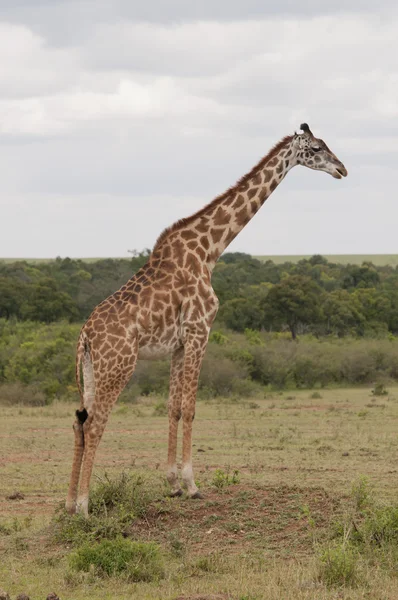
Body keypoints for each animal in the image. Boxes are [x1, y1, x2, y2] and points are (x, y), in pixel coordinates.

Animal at [65, 123, 346, 516]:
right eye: (318, 147)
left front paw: (172, 485)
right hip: (118, 366)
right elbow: (191, 408)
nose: (342, 169)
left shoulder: (178, 344)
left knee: (79, 421)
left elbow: (173, 408)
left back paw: (67, 504)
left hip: (91, 370)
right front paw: (192, 485)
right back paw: (84, 507)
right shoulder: (201, 330)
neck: (209, 251)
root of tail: (85, 336)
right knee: (94, 425)